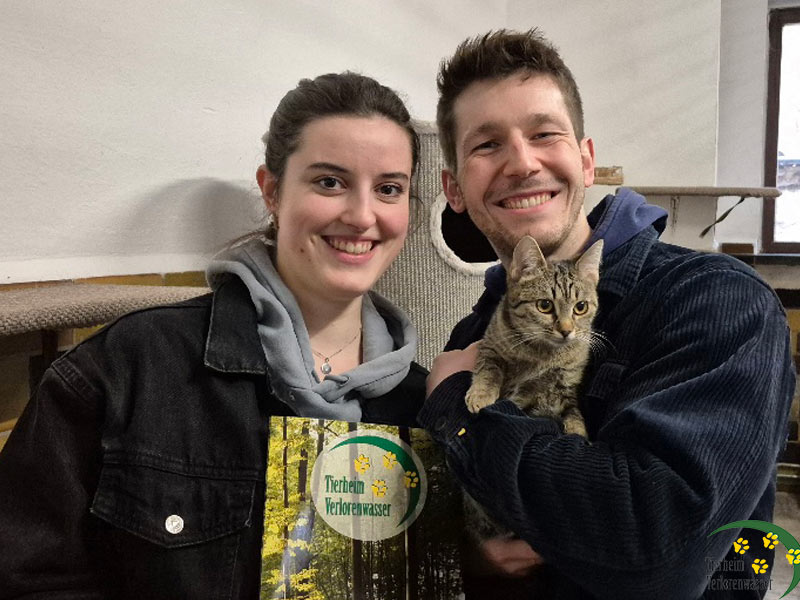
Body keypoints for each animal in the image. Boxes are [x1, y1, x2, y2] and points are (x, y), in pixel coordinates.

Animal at [463, 235, 603, 541]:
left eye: (581, 307)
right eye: (545, 305)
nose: (566, 330)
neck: (542, 355)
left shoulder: (567, 389)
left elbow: (575, 416)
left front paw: (578, 434)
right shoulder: (490, 349)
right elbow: (489, 370)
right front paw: (481, 395)